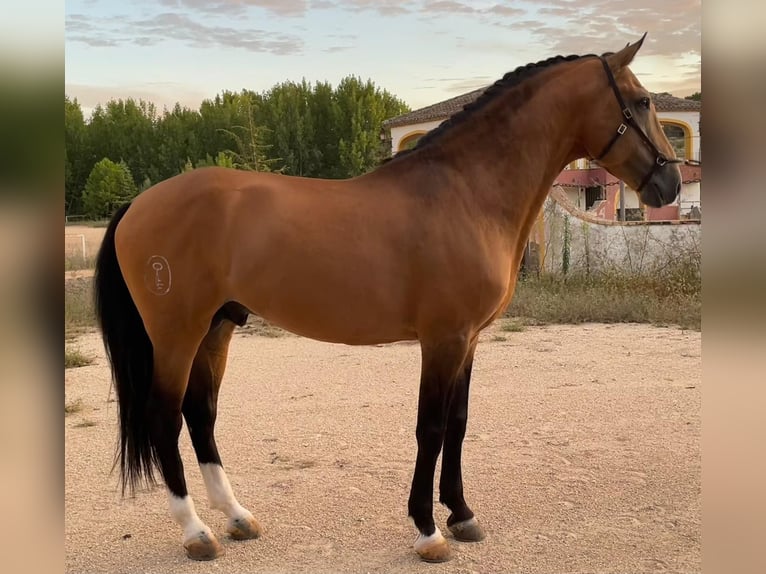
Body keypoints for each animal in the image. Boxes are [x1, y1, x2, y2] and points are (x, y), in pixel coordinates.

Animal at [94, 37, 684, 568]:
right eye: (642, 101)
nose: (671, 182)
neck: (466, 192)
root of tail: (138, 203)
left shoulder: (468, 339)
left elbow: (458, 423)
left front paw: (463, 515)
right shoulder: (442, 339)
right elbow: (431, 427)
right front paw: (428, 531)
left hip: (217, 327)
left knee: (201, 413)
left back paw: (237, 517)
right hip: (177, 333)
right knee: (164, 418)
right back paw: (197, 533)